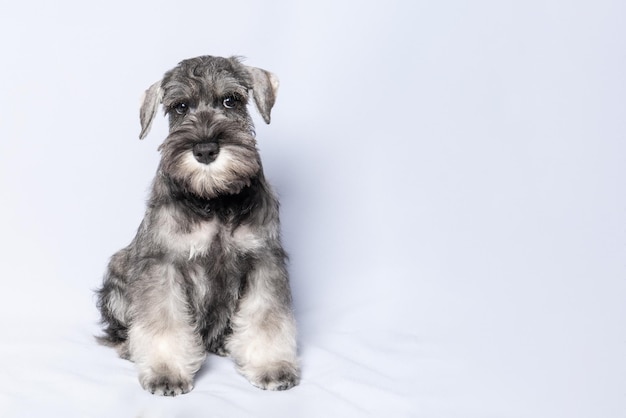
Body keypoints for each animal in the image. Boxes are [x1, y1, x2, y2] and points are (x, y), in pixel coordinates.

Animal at [95, 54, 300, 396]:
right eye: (180, 107)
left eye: (231, 100)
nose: (205, 149)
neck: (214, 198)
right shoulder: (162, 264)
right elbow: (163, 320)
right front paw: (165, 371)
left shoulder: (263, 260)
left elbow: (265, 317)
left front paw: (271, 366)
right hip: (118, 269)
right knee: (120, 329)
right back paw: (129, 348)